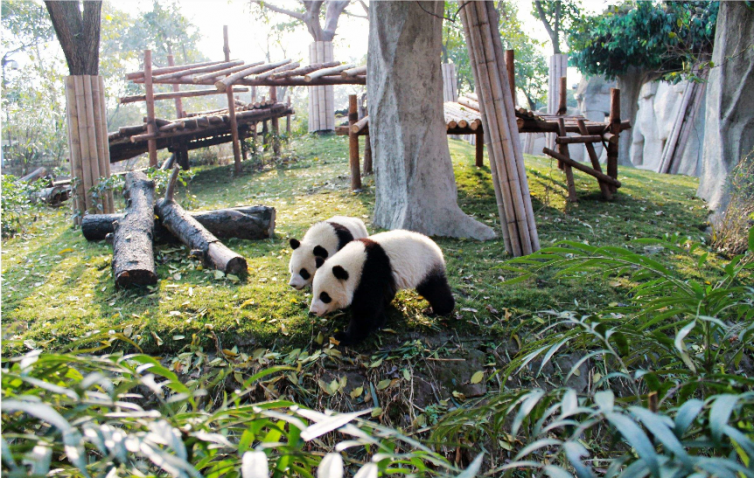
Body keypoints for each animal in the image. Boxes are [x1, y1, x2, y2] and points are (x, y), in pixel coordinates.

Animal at [308, 231, 456, 346]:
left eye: (324, 296)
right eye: (314, 292)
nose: (313, 311)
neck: (355, 262)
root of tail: (435, 246)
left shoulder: (371, 273)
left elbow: (366, 309)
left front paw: (344, 337)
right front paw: (378, 321)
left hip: (425, 266)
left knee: (434, 289)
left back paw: (438, 310)